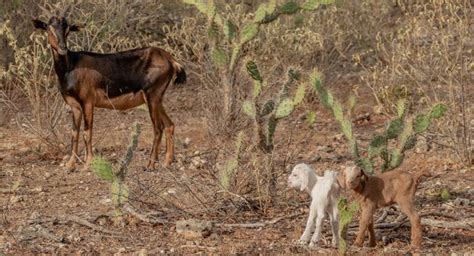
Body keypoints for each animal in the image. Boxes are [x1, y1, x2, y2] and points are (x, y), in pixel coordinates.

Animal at [32, 13, 185, 170]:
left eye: (68, 29)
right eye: (49, 28)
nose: (63, 47)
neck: (71, 67)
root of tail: (171, 60)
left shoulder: (88, 102)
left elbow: (87, 132)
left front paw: (88, 164)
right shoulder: (75, 106)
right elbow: (74, 133)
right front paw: (70, 164)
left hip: (152, 96)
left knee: (158, 128)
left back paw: (150, 165)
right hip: (157, 99)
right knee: (169, 125)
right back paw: (167, 162)